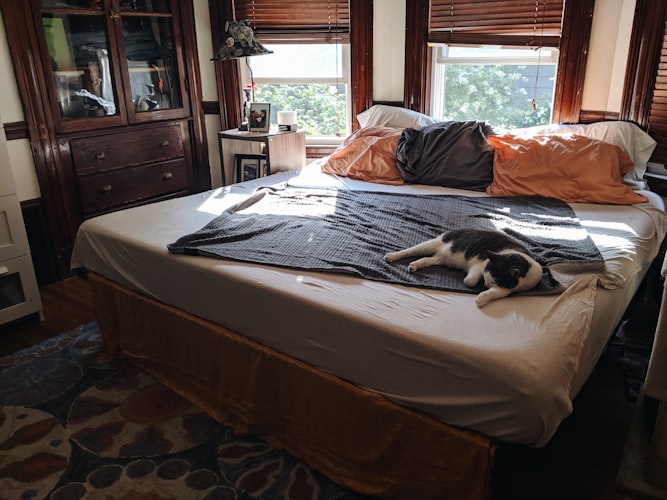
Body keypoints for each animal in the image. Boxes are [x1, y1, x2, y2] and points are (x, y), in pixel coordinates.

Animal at [384, 229, 544, 306]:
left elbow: (497, 293)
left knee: (427, 259)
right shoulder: (480, 265)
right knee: (409, 251)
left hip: (439, 259)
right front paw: (475, 285)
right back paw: (391, 256)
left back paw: (414, 265)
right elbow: (470, 281)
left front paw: (482, 298)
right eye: (487, 276)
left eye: (495, 280)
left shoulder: (508, 289)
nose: (485, 284)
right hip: (431, 244)